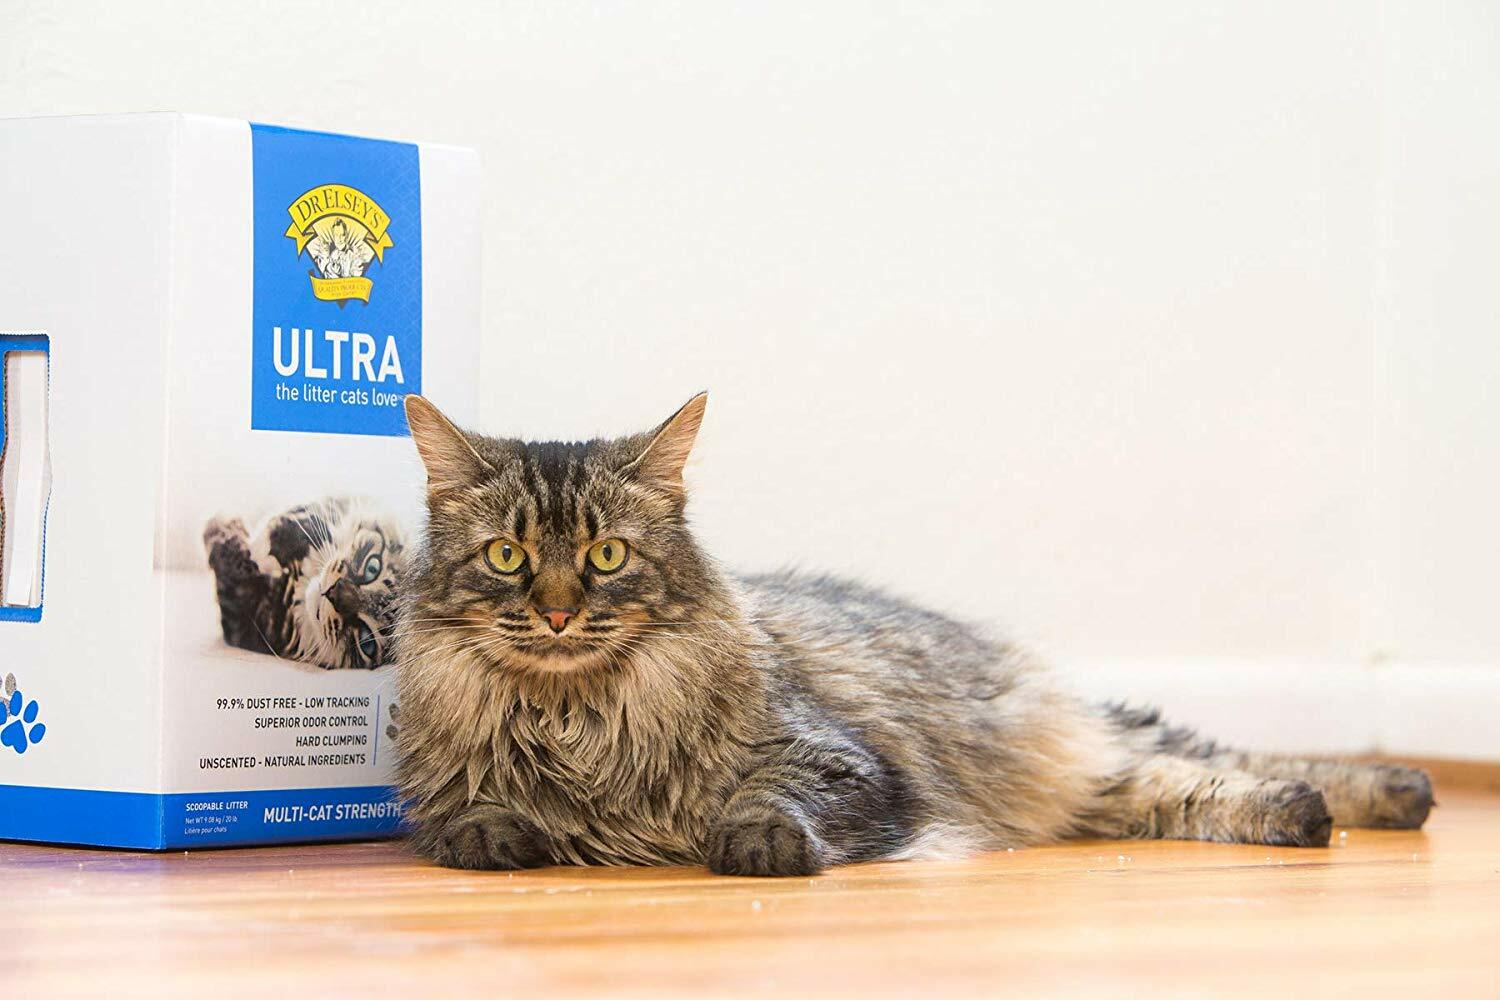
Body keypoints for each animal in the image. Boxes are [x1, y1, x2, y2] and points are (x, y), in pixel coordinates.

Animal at [203, 497, 404, 670]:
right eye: (372, 568)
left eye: (366, 642)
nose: (333, 593)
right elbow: (300, 521)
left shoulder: (243, 617)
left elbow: (229, 561)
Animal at [393, 394, 1433, 875]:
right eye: (507, 557)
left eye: (606, 555)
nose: (559, 611)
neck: (579, 718)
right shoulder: (442, 792)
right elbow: (470, 821)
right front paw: (507, 836)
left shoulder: (845, 764)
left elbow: (767, 800)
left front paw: (754, 843)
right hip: (1104, 789)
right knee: (1177, 786)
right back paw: (1314, 812)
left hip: (1077, 736)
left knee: (1215, 753)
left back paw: (1384, 792)